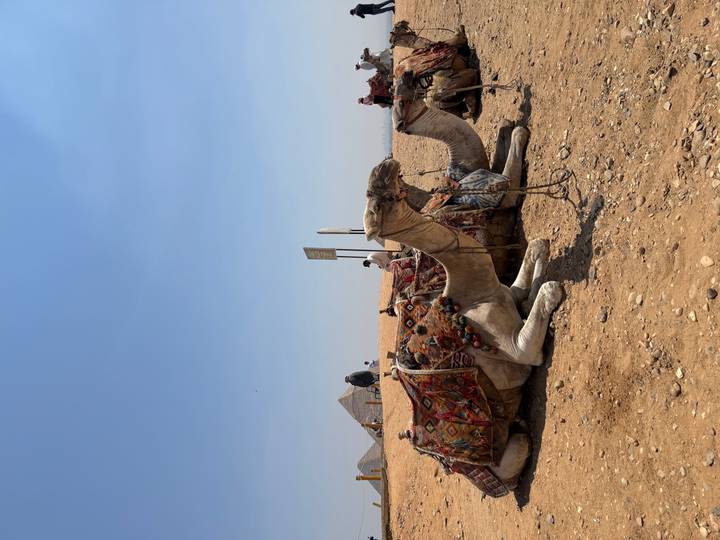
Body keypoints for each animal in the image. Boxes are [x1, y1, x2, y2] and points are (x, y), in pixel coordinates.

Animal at [364, 157, 563, 490]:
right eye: (377, 200)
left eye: (382, 191)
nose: (386, 164)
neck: (469, 294)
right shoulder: (516, 349)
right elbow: (546, 294)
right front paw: (555, 288)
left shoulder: (507, 295)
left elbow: (532, 260)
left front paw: (543, 247)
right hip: (509, 456)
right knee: (522, 442)